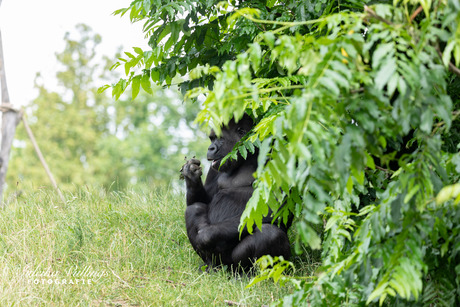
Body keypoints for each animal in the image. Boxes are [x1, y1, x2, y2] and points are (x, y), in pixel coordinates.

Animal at [180, 115, 292, 272]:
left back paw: (252, 274)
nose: (210, 148)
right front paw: (191, 175)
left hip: (235, 264)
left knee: (270, 234)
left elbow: (275, 207)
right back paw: (209, 266)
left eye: (220, 138)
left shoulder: (278, 156)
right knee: (194, 208)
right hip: (220, 263)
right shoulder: (214, 167)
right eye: (211, 139)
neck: (248, 157)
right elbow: (204, 200)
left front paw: (207, 235)